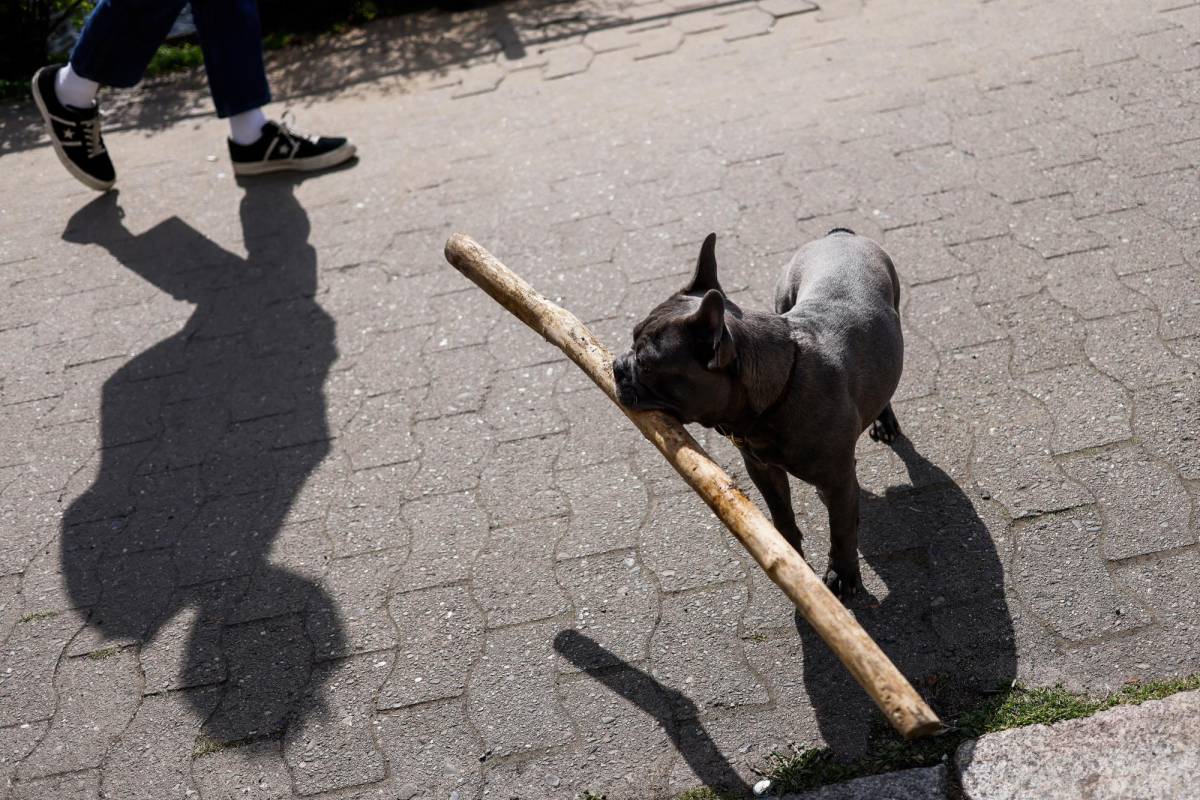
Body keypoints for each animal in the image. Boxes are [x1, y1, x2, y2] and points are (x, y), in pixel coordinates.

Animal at [614, 227, 902, 597]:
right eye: (632, 337)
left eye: (647, 365)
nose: (617, 365)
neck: (781, 388)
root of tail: (840, 234)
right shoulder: (763, 469)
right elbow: (781, 513)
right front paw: (789, 553)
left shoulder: (838, 480)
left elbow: (841, 531)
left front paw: (843, 574)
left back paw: (885, 419)